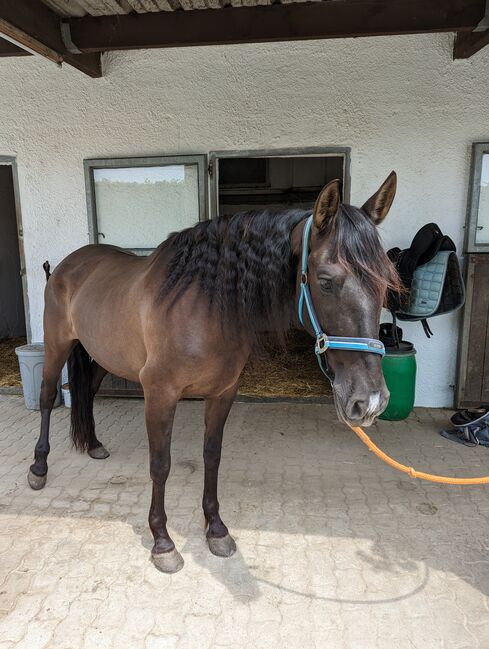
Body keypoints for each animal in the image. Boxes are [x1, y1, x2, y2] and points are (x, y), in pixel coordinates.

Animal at [27, 170, 400, 568]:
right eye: (327, 281)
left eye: (386, 282)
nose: (370, 401)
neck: (203, 306)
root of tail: (66, 264)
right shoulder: (159, 394)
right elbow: (160, 463)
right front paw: (162, 541)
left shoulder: (223, 392)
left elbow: (212, 455)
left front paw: (216, 529)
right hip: (56, 345)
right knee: (47, 397)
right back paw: (39, 468)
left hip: (103, 355)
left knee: (89, 392)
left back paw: (94, 444)